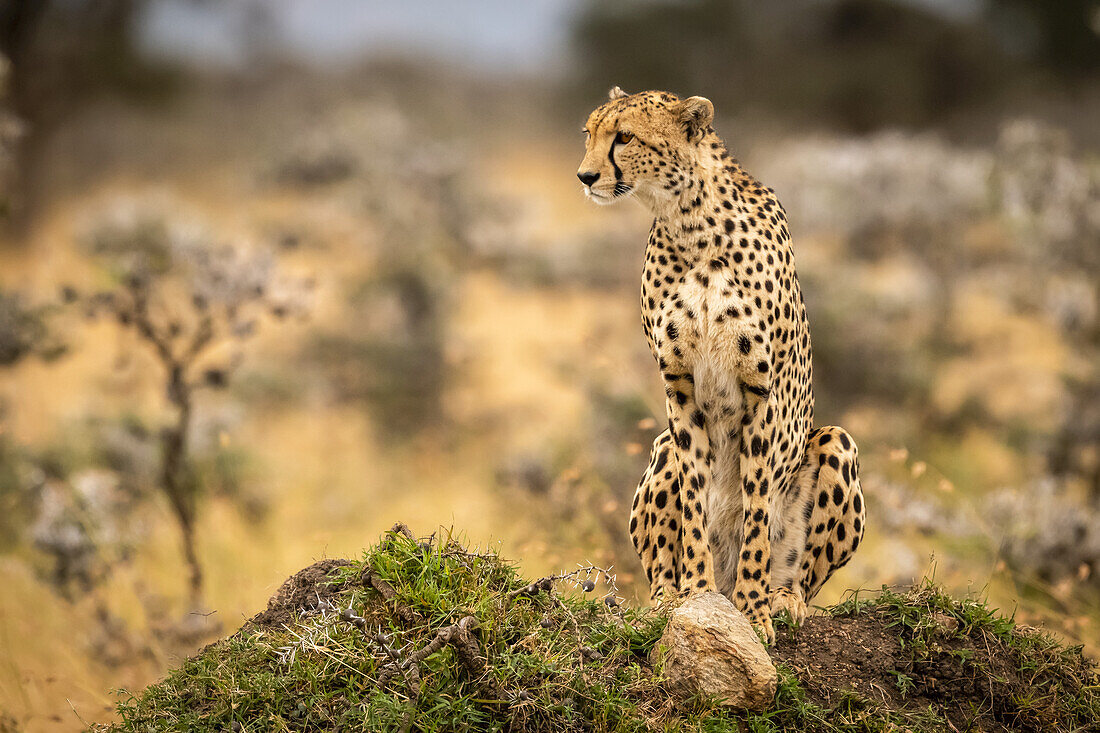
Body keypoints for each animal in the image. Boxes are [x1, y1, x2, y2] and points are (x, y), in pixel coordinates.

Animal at [580, 86, 862, 638]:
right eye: (589, 134)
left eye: (624, 137)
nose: (584, 175)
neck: (690, 223)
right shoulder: (680, 385)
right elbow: (694, 502)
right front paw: (696, 592)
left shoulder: (763, 392)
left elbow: (756, 509)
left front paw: (751, 612)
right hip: (661, 447)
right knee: (660, 559)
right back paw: (669, 598)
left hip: (836, 443)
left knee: (801, 572)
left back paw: (781, 598)